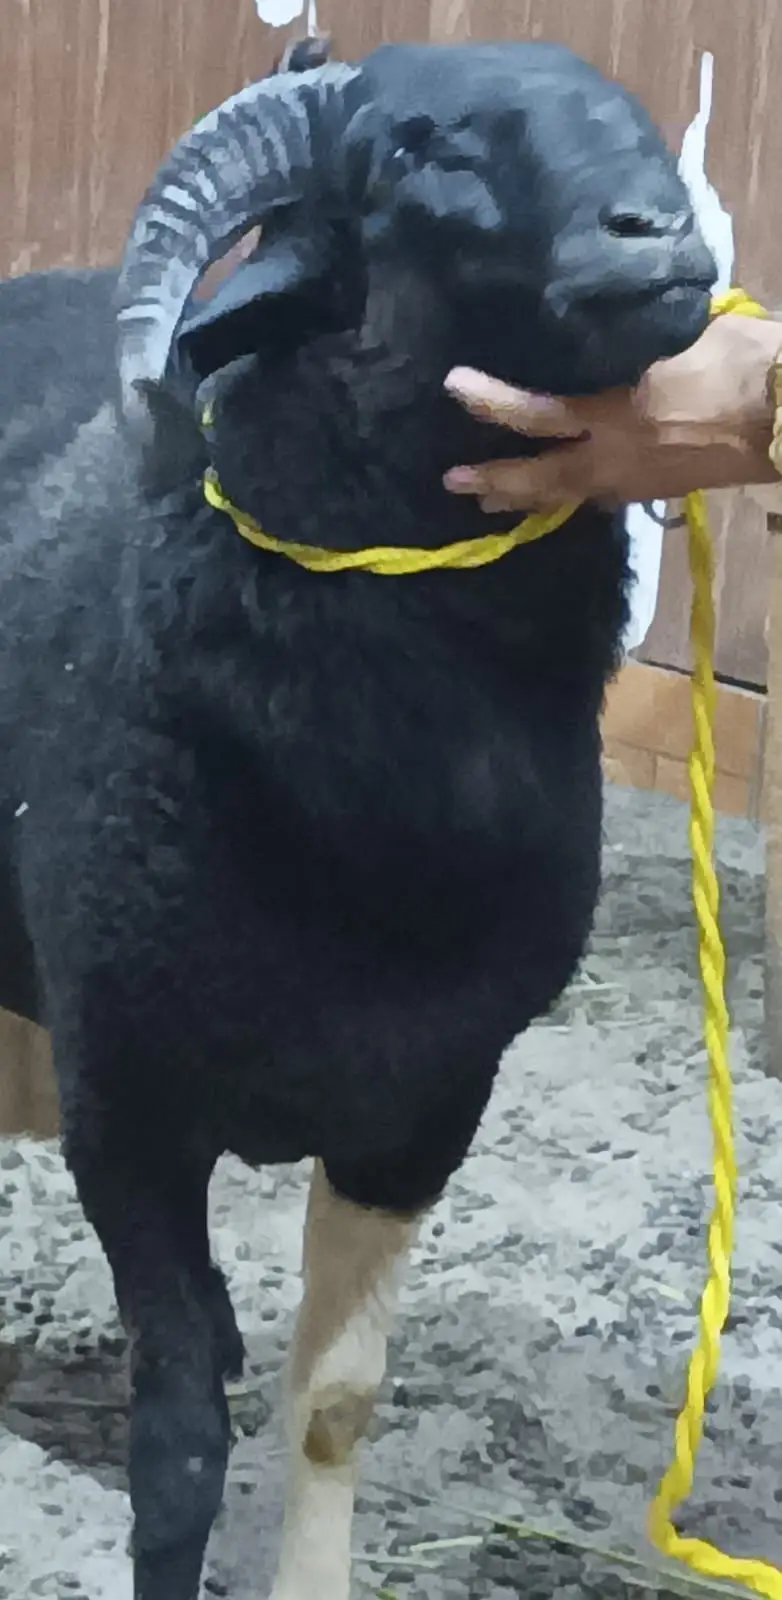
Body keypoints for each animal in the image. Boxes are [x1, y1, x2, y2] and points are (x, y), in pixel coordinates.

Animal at [0, 40, 716, 1600]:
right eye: (409, 148)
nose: (660, 237)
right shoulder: (125, 1100)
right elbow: (179, 1426)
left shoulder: (425, 1106)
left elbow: (333, 1403)